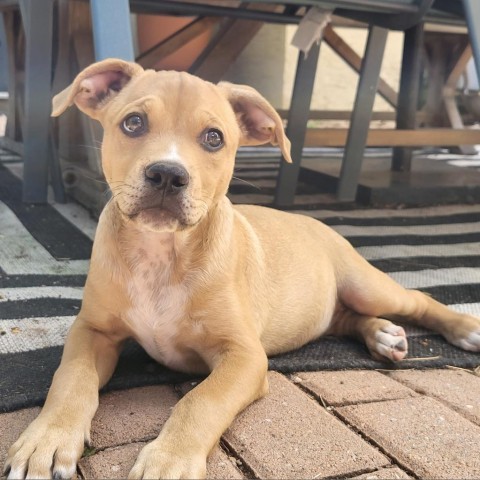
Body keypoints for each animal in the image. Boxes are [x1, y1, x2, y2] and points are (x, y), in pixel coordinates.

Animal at [3, 58, 480, 478]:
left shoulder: (245, 356)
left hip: (366, 284)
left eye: (214, 138)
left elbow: (201, 402)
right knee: (345, 319)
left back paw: (462, 327)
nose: (167, 175)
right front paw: (47, 440)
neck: (161, 255)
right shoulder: (92, 330)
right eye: (133, 123)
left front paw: (170, 460)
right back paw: (382, 334)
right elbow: (71, 380)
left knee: (416, 298)